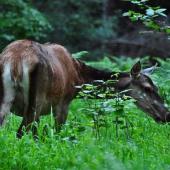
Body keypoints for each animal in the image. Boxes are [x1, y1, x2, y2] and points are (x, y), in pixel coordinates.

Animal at [0, 39, 169, 138]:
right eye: (147, 88)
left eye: (157, 87)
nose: (166, 114)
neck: (79, 78)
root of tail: (16, 62)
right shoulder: (63, 103)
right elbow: (58, 133)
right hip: (37, 98)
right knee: (22, 132)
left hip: (7, 99)